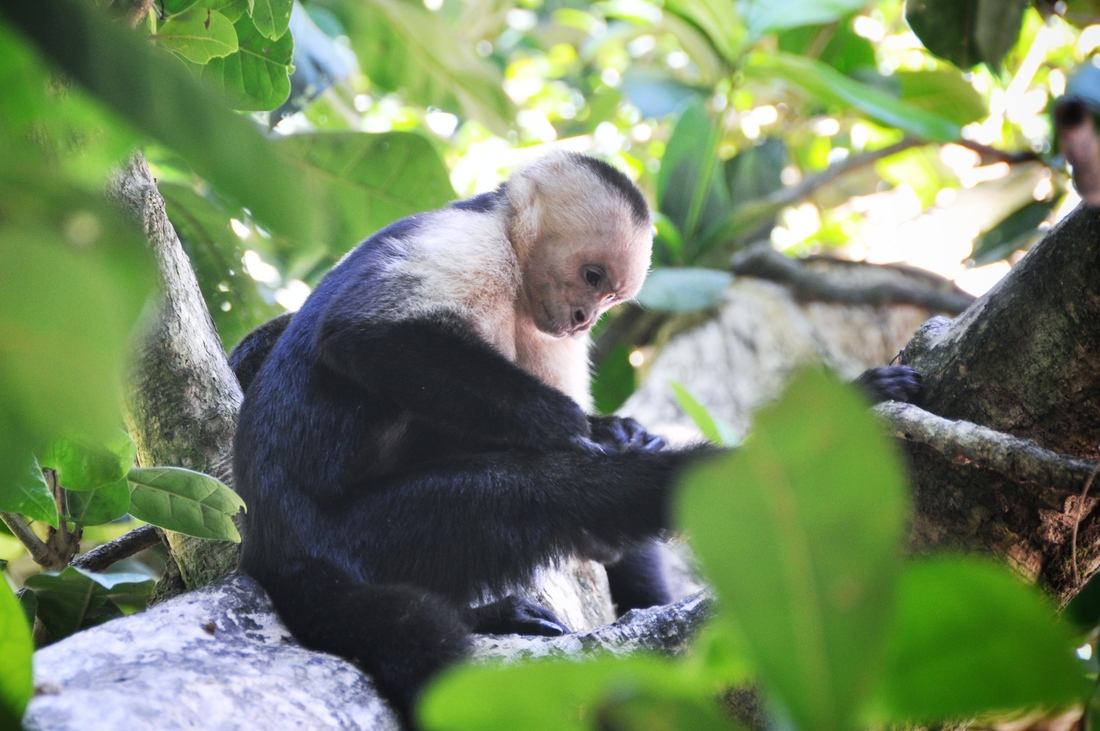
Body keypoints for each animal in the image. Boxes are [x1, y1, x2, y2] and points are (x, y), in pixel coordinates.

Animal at [229, 151, 921, 725]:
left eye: (611, 295)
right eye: (591, 274)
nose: (587, 319)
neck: (511, 261)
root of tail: (273, 541)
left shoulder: (546, 327)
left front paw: (614, 429)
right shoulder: (464, 243)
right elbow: (363, 337)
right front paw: (572, 428)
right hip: (364, 534)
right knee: (546, 491)